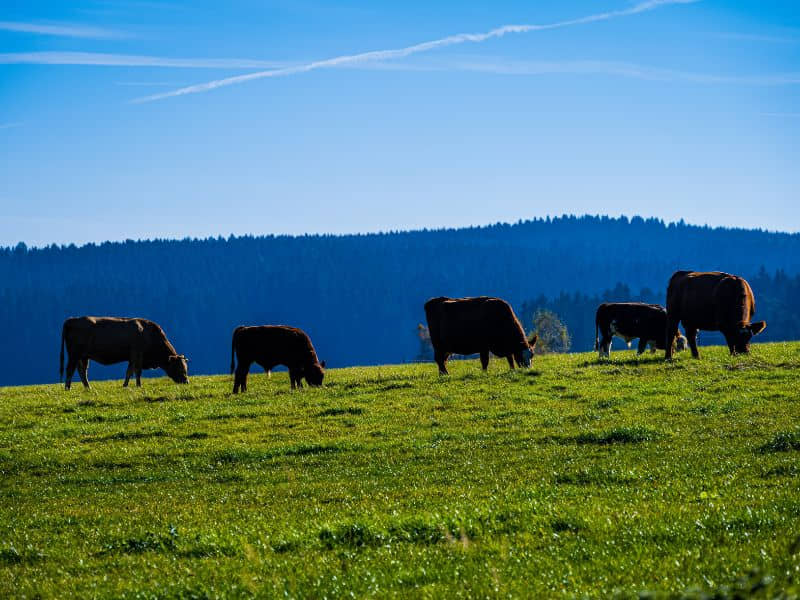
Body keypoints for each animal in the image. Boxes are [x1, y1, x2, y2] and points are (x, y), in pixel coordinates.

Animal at [59, 316, 189, 392]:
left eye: (185, 367)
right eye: (179, 367)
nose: (186, 381)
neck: (149, 334)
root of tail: (72, 320)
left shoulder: (132, 358)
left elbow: (129, 372)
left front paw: (125, 385)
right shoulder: (138, 355)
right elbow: (137, 371)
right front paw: (138, 385)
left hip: (83, 357)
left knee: (82, 371)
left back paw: (88, 387)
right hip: (74, 355)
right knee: (70, 369)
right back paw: (67, 388)